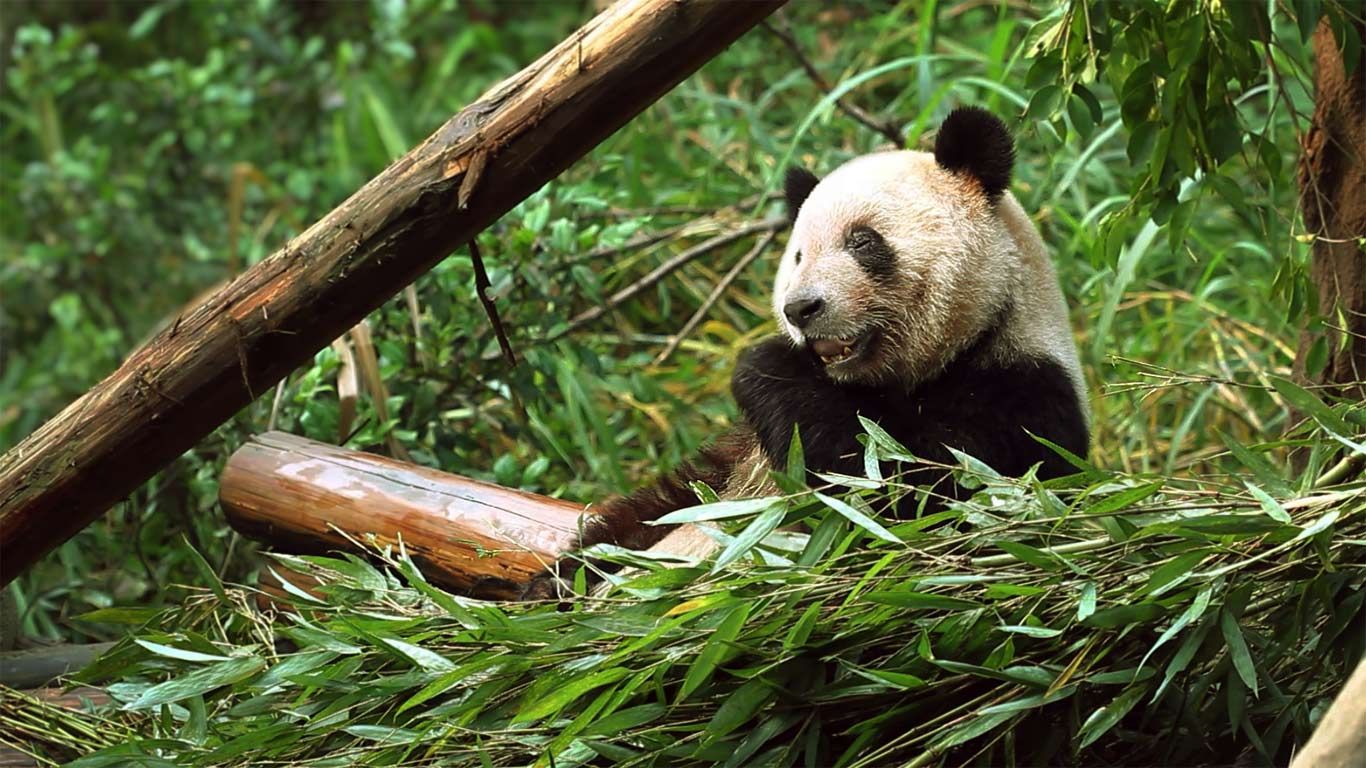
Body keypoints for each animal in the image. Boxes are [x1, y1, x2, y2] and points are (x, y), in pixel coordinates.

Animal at [524, 107, 1089, 598]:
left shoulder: (1019, 398)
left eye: (863, 241)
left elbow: (903, 500)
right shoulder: (736, 455)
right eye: (797, 256)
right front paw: (554, 580)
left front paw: (765, 364)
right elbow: (660, 506)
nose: (800, 308)